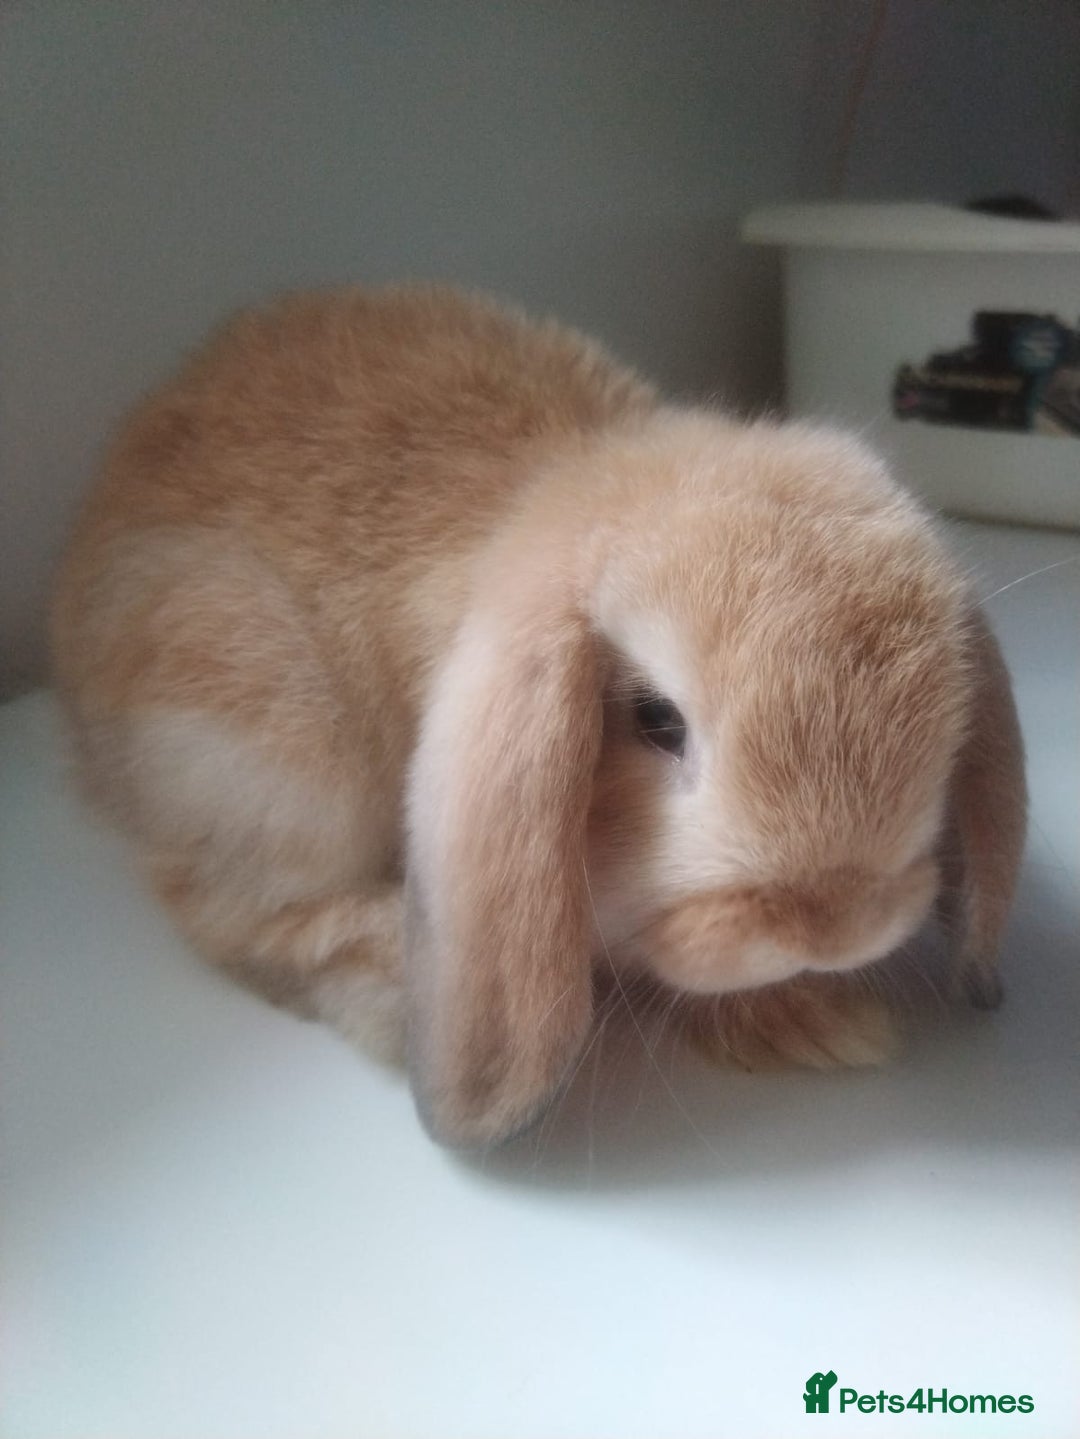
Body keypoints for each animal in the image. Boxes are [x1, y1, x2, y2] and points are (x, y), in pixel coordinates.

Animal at [50, 284, 1027, 1147]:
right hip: (259, 746)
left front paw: (814, 1017)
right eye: (658, 720)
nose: (834, 929)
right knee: (235, 915)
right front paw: (811, 1020)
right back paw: (390, 984)